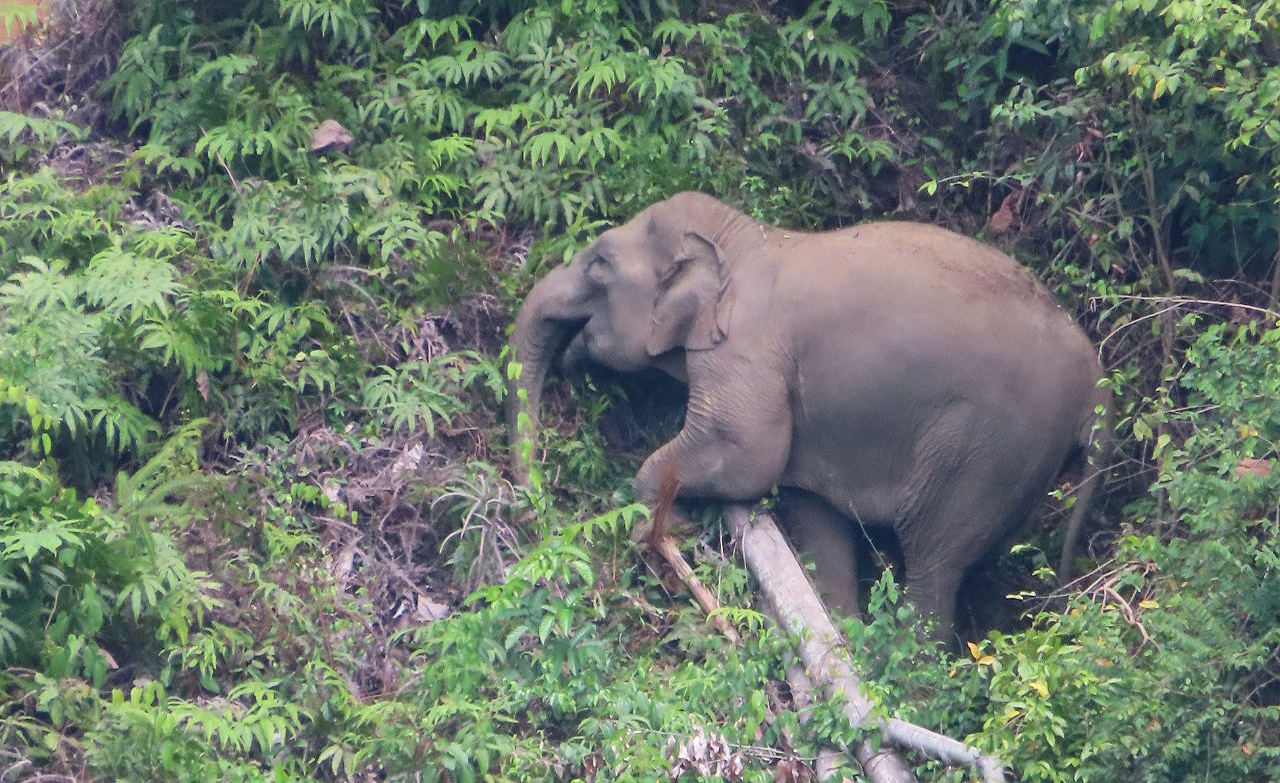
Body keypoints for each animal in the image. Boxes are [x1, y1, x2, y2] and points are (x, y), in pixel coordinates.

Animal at [504, 193, 1105, 639]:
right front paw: (840, 638)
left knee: (935, 559)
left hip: (989, 447)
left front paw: (657, 532)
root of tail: (1096, 382)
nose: (536, 506)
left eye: (599, 264)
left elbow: (746, 452)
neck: (743, 238)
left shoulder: (745, 353)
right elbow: (815, 517)